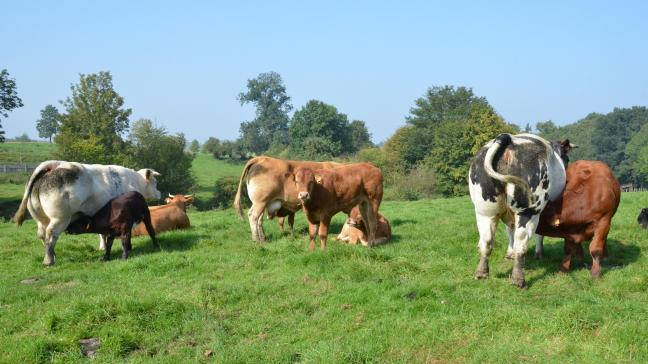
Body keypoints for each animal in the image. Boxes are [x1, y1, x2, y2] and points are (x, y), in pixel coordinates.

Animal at [14, 161, 161, 266]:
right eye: (155, 182)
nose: (159, 193)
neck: (135, 181)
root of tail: (55, 166)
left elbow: (103, 234)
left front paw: (102, 248)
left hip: (40, 219)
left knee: (42, 235)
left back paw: (52, 254)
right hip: (60, 218)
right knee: (51, 234)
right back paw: (49, 260)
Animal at [466, 133, 568, 288]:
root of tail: (506, 137)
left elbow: (510, 232)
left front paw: (510, 253)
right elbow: (539, 234)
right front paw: (539, 254)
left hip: (484, 211)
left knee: (486, 240)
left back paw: (481, 273)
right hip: (528, 211)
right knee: (521, 242)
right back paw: (518, 280)